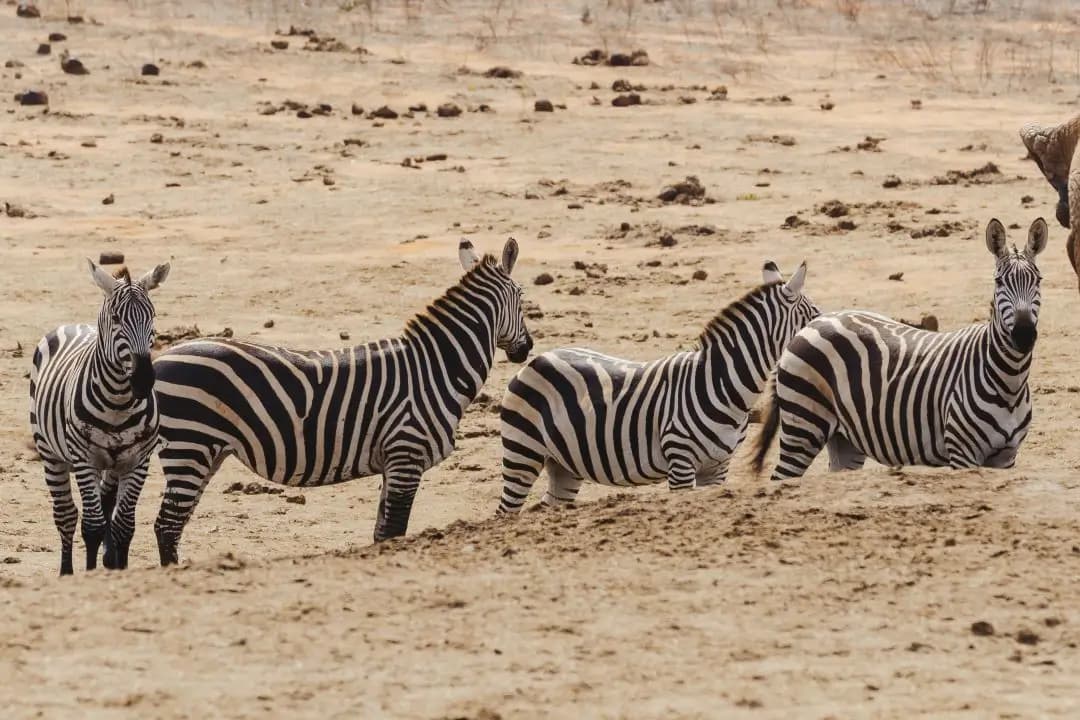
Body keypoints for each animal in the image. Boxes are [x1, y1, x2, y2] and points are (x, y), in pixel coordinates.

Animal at [29, 262, 170, 578]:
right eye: (116, 318)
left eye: (152, 316)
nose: (143, 381)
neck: (118, 401)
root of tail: (74, 325)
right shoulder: (84, 459)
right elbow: (92, 526)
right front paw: (91, 573)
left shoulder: (138, 461)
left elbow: (123, 526)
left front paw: (119, 568)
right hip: (50, 452)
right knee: (67, 515)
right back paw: (67, 571)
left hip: (113, 462)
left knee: (106, 504)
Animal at [151, 236, 531, 561]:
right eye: (523, 299)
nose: (526, 349)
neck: (436, 368)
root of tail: (161, 357)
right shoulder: (406, 454)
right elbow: (394, 532)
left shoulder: (393, 462)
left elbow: (382, 532)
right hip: (190, 445)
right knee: (167, 525)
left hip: (207, 452)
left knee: (171, 523)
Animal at [496, 260, 816, 511]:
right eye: (815, 316)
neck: (722, 384)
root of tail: (537, 360)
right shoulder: (681, 462)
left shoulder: (717, 467)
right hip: (522, 452)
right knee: (506, 510)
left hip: (563, 465)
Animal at [751, 216, 1045, 481]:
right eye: (999, 282)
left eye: (1038, 281)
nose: (1023, 335)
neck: (1009, 382)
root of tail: (811, 324)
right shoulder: (962, 453)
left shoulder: (1007, 457)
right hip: (803, 425)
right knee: (781, 476)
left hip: (844, 440)